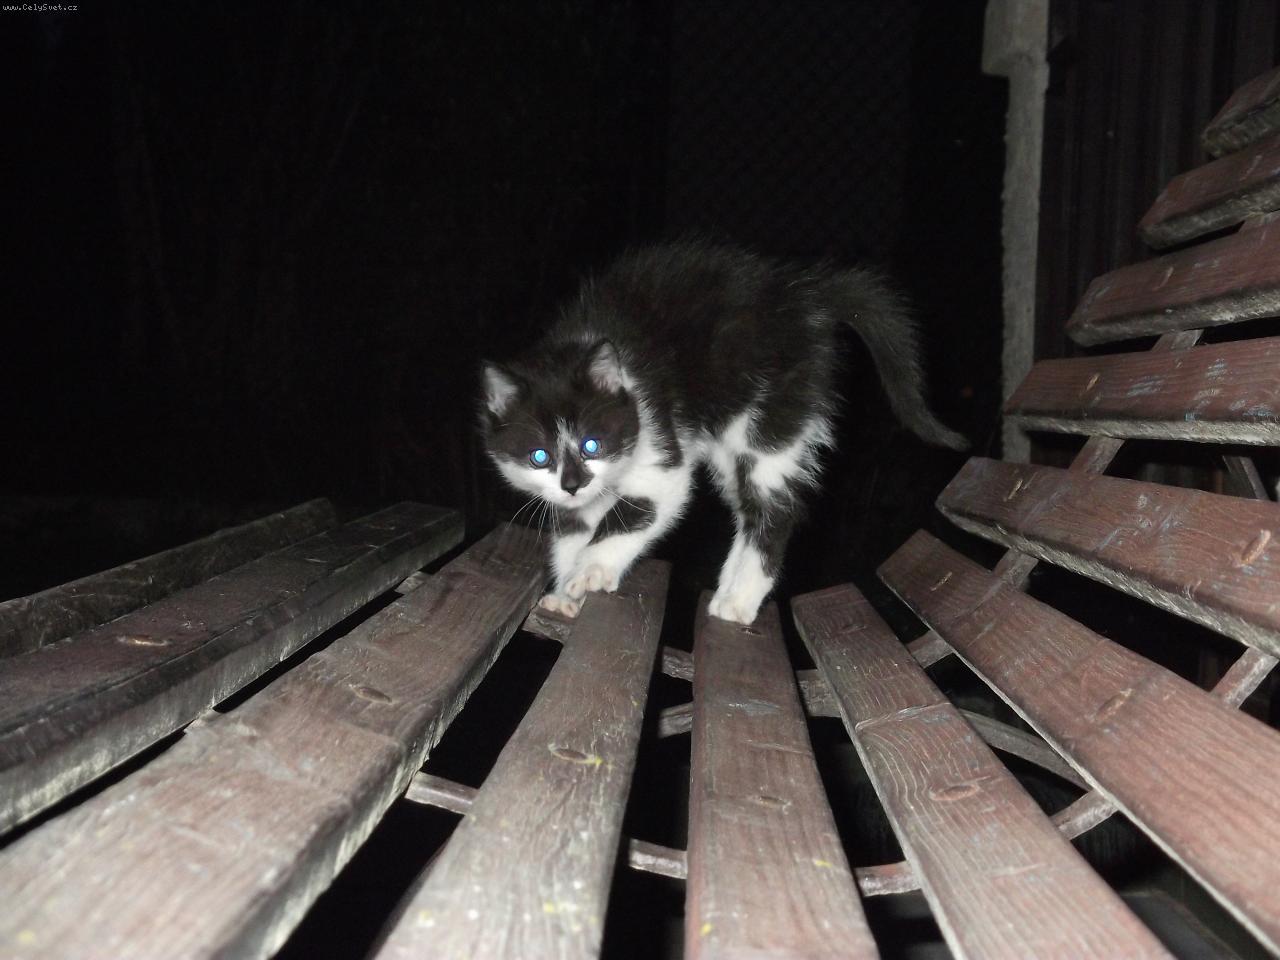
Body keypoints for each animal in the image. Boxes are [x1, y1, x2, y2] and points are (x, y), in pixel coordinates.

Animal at [479, 241, 965, 625]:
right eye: (538, 456)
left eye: (591, 444)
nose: (574, 483)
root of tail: (802, 294)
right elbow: (572, 530)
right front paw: (566, 594)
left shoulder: (659, 442)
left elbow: (639, 510)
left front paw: (589, 570)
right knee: (748, 506)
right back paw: (729, 590)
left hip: (771, 417)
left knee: (775, 507)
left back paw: (741, 602)